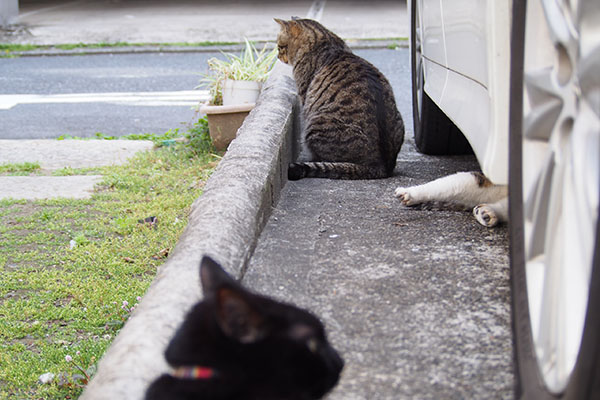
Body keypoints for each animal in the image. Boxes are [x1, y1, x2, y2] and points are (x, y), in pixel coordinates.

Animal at [276, 18, 406, 180]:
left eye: (280, 47)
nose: (277, 56)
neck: (326, 40)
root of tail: (381, 166)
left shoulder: (305, 95)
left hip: (316, 124)